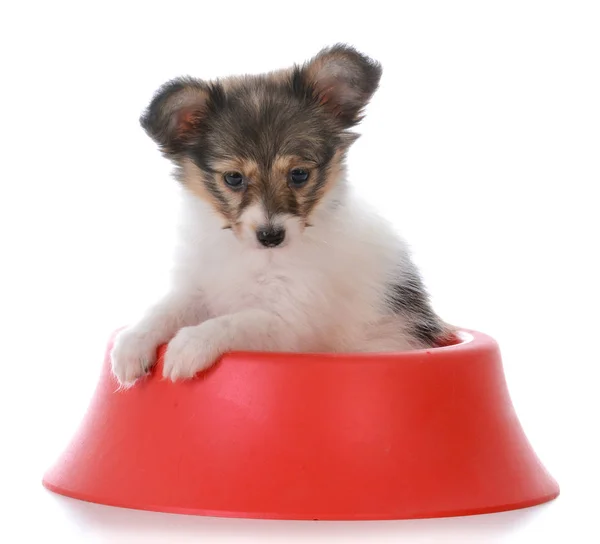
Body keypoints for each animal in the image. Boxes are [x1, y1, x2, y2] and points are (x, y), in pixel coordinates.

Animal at [111, 45, 450, 386]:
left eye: (299, 175)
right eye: (233, 178)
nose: (271, 235)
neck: (252, 255)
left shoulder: (289, 320)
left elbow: (233, 322)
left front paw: (188, 345)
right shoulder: (199, 287)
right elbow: (165, 309)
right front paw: (130, 344)